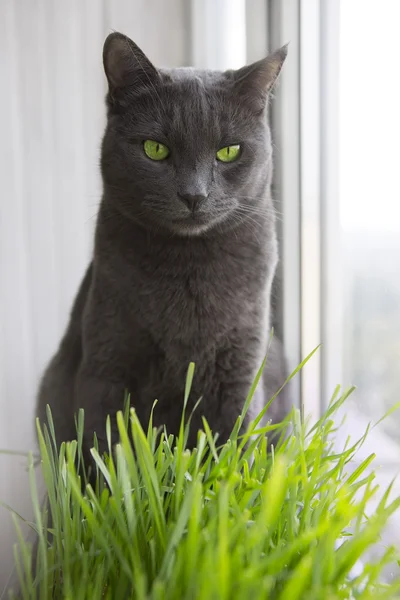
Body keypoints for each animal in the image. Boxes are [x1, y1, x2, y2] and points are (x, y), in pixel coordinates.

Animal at [36, 30, 290, 458]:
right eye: (155, 149)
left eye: (229, 151)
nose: (194, 195)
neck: (187, 267)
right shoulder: (105, 365)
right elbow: (105, 451)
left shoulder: (241, 364)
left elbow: (231, 449)